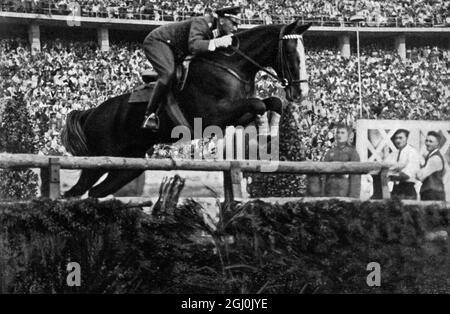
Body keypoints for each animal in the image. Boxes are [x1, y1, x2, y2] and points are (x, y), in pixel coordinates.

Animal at [61, 19, 312, 197]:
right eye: (290, 52)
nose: (301, 92)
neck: (232, 65)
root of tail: (90, 113)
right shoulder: (214, 116)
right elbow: (259, 103)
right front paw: (265, 133)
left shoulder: (236, 116)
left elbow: (272, 102)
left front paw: (271, 133)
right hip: (98, 159)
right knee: (76, 191)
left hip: (129, 164)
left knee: (96, 192)